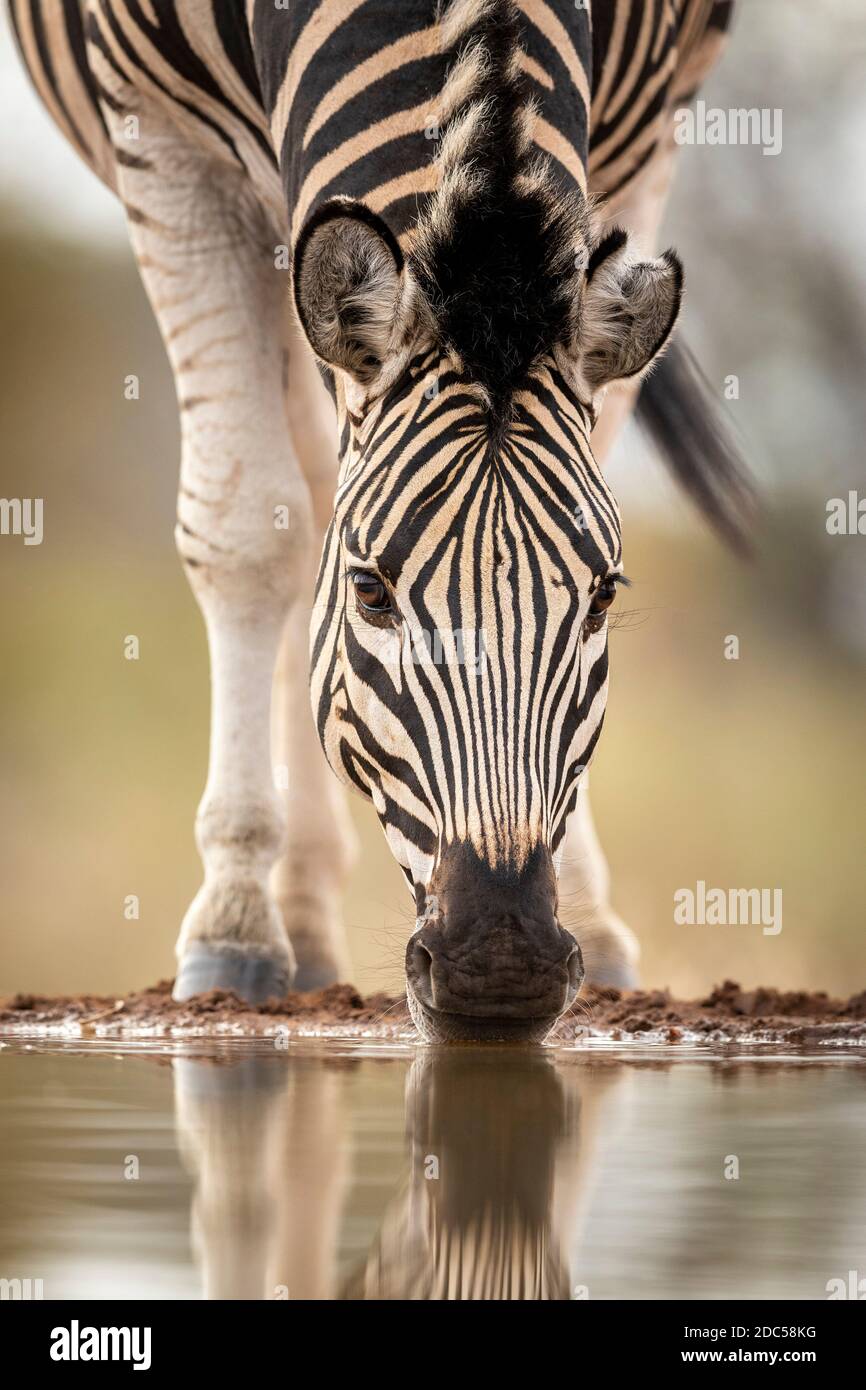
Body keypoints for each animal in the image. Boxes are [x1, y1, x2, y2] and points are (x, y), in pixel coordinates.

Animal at [10, 0, 750, 1045]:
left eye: (605, 597)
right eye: (369, 593)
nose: (501, 967)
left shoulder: (647, 132)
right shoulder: (159, 134)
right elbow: (248, 529)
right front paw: (233, 924)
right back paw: (290, 919)